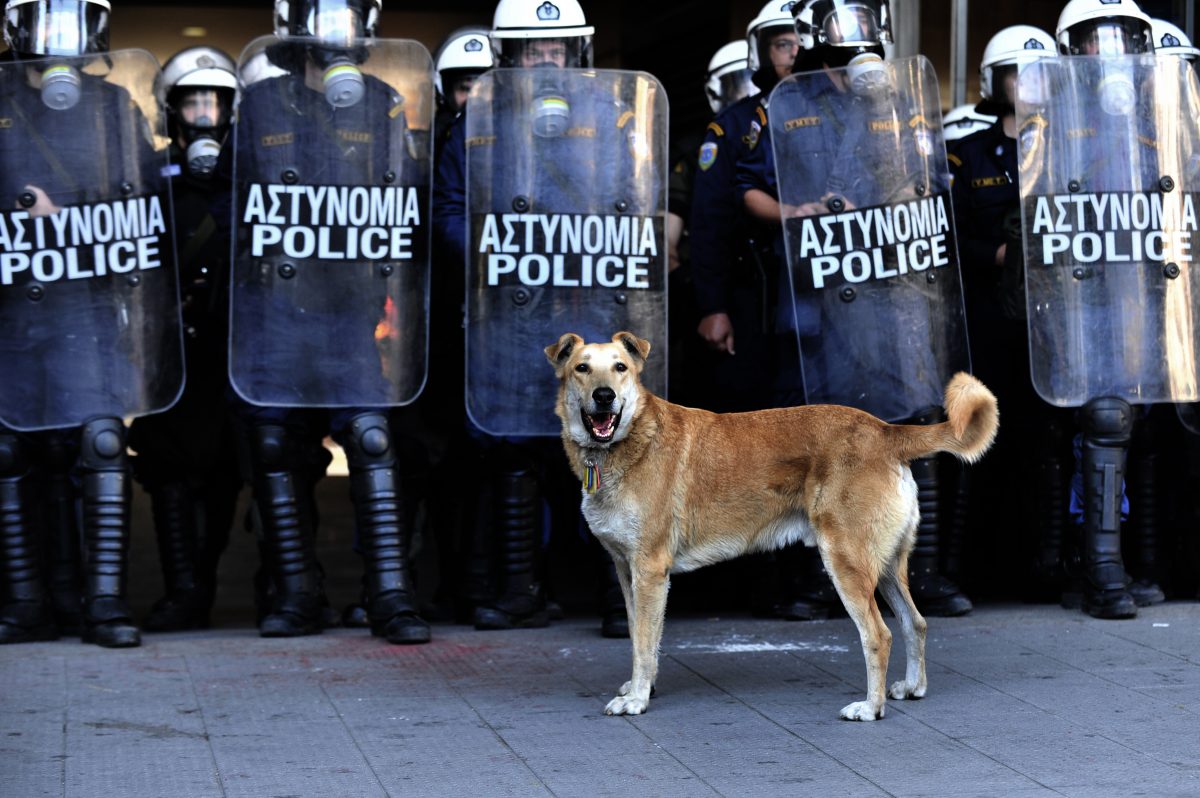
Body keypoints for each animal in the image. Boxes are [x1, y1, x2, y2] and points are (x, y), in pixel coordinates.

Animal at [549, 328, 998, 720]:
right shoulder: (627, 571)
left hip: (846, 563)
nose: (604, 397)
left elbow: (643, 644)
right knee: (914, 622)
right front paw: (644, 688)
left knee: (878, 635)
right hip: (885, 566)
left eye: (620, 367)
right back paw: (912, 687)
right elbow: (641, 637)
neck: (623, 445)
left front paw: (638, 700)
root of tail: (885, 430)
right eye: (582, 368)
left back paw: (871, 708)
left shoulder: (650, 570)